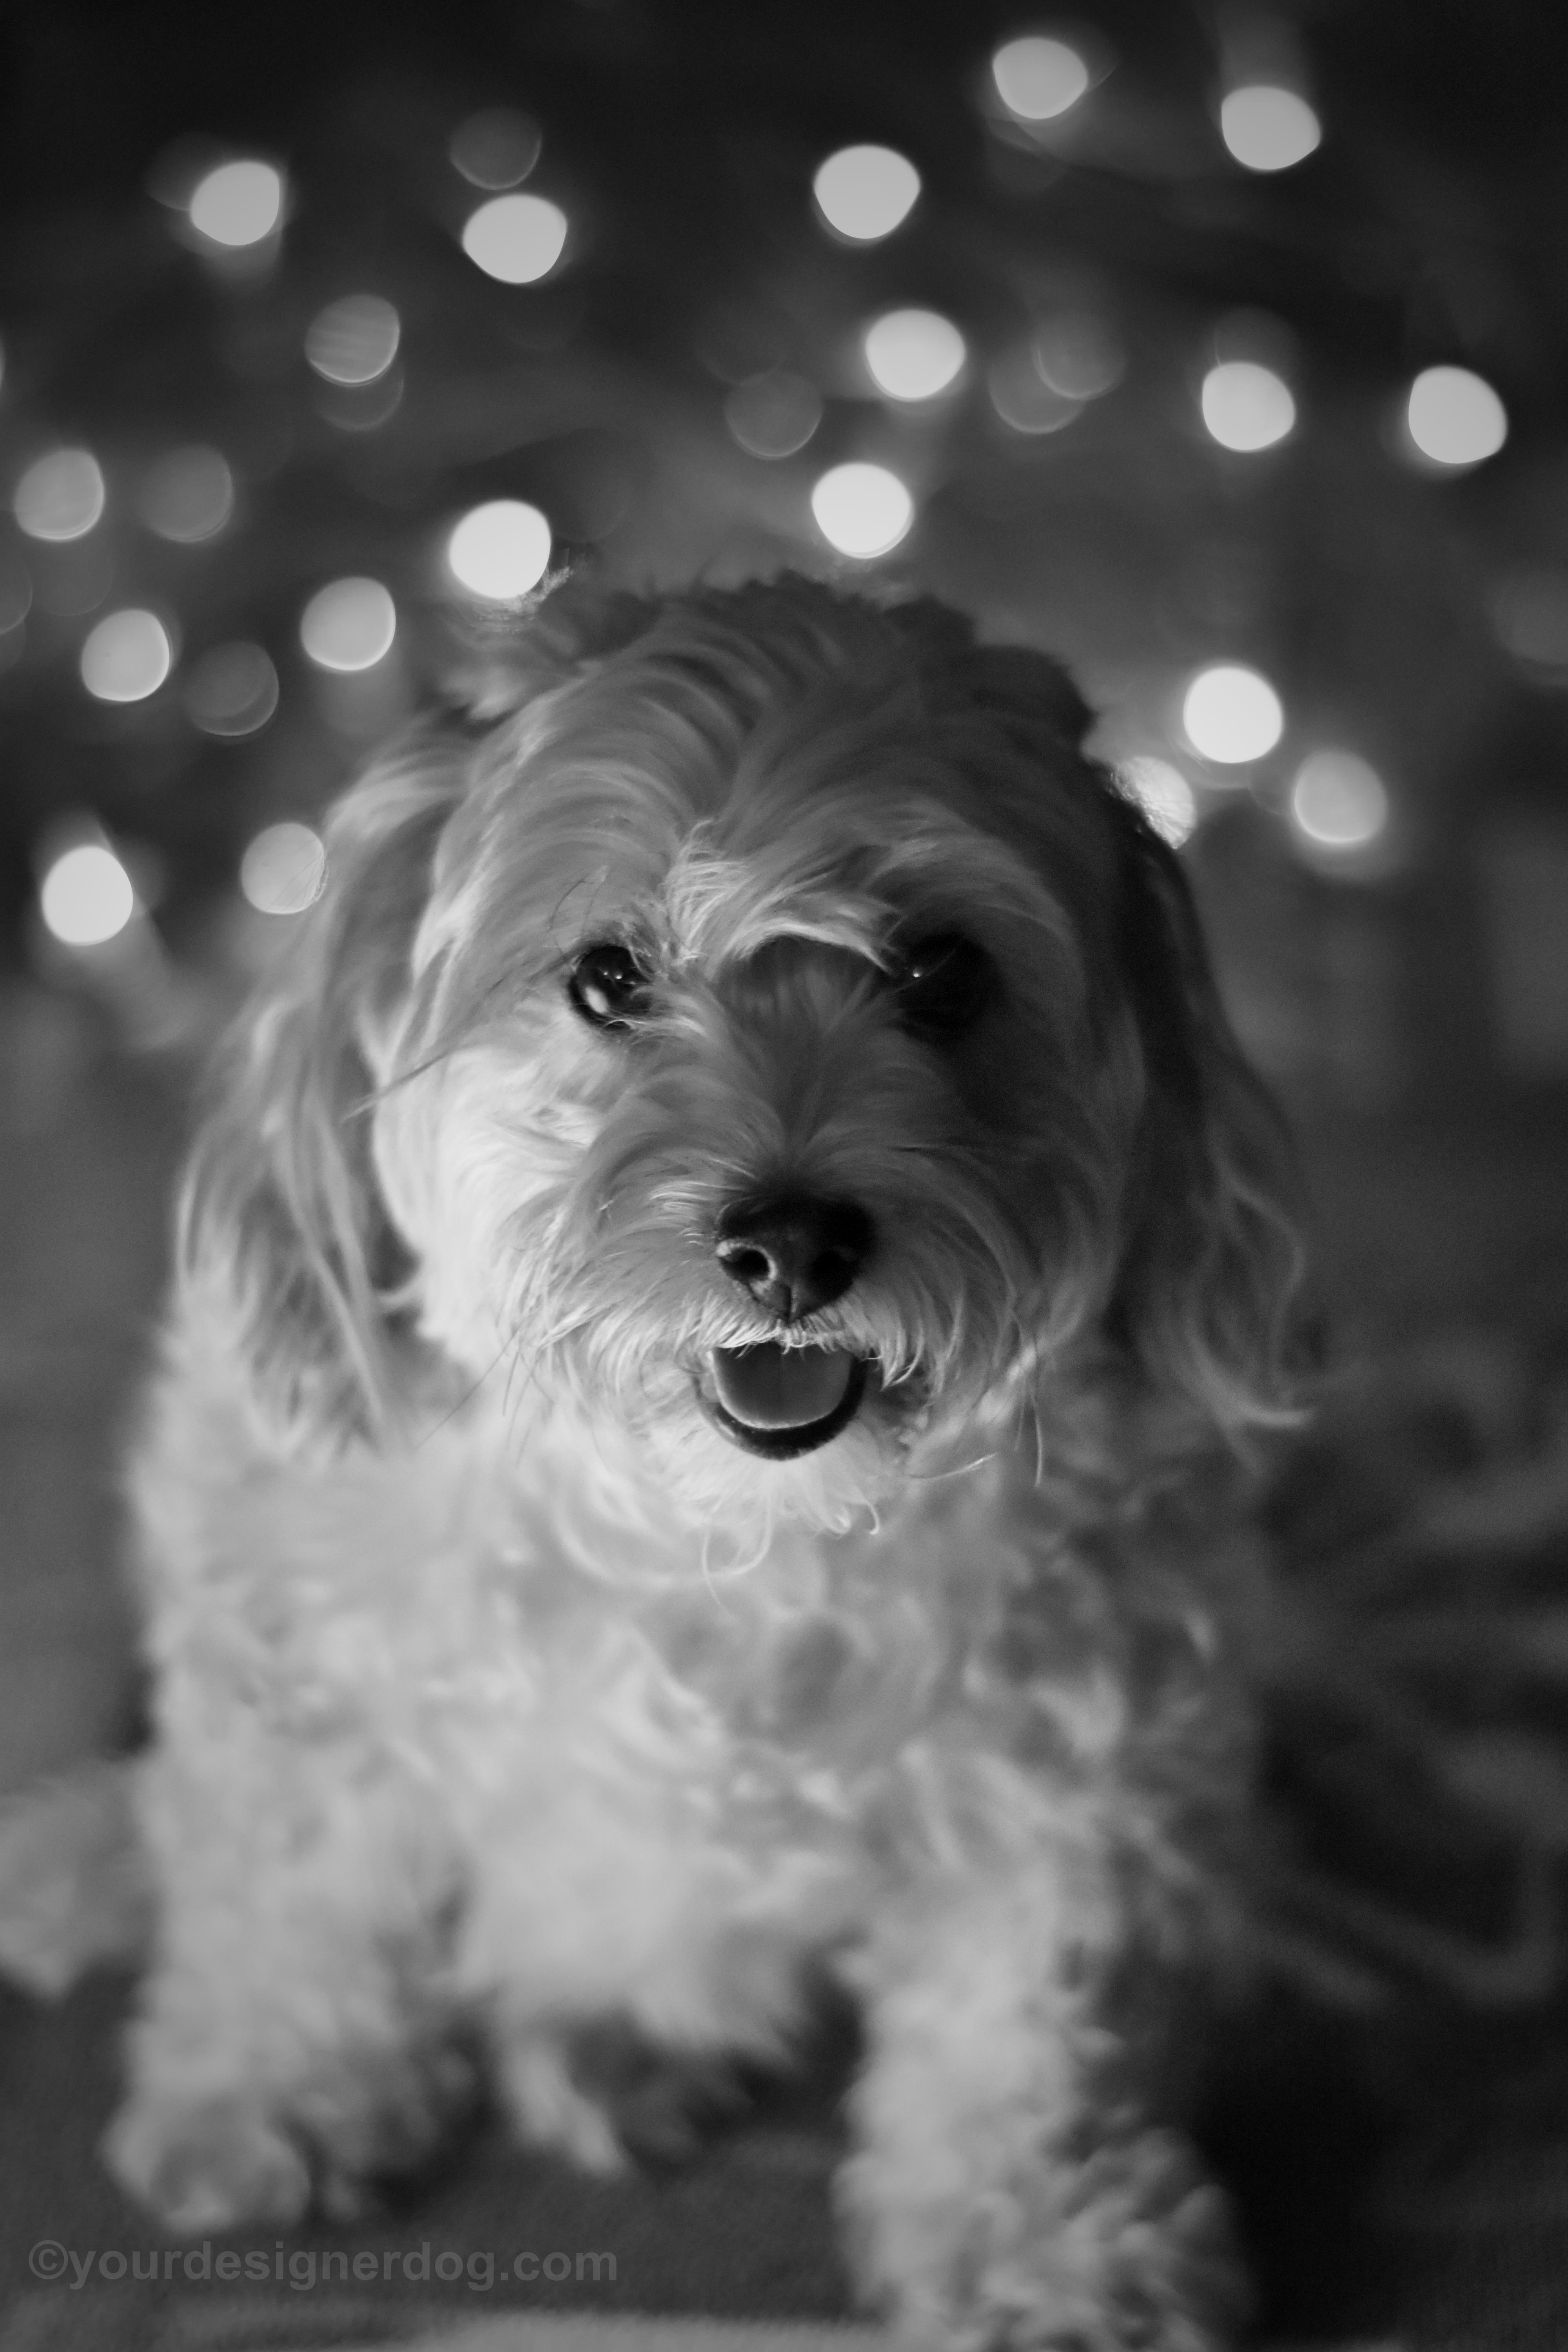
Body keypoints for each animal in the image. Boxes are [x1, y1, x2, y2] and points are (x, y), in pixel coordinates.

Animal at [98, 574, 1307, 2352]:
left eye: (941, 971)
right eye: (607, 973)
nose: (792, 1240)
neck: (712, 1528)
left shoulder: (1077, 1777)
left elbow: (1027, 2031)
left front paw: (1047, 2238)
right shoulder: (298, 1670)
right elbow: (294, 1900)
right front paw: (270, 2093)